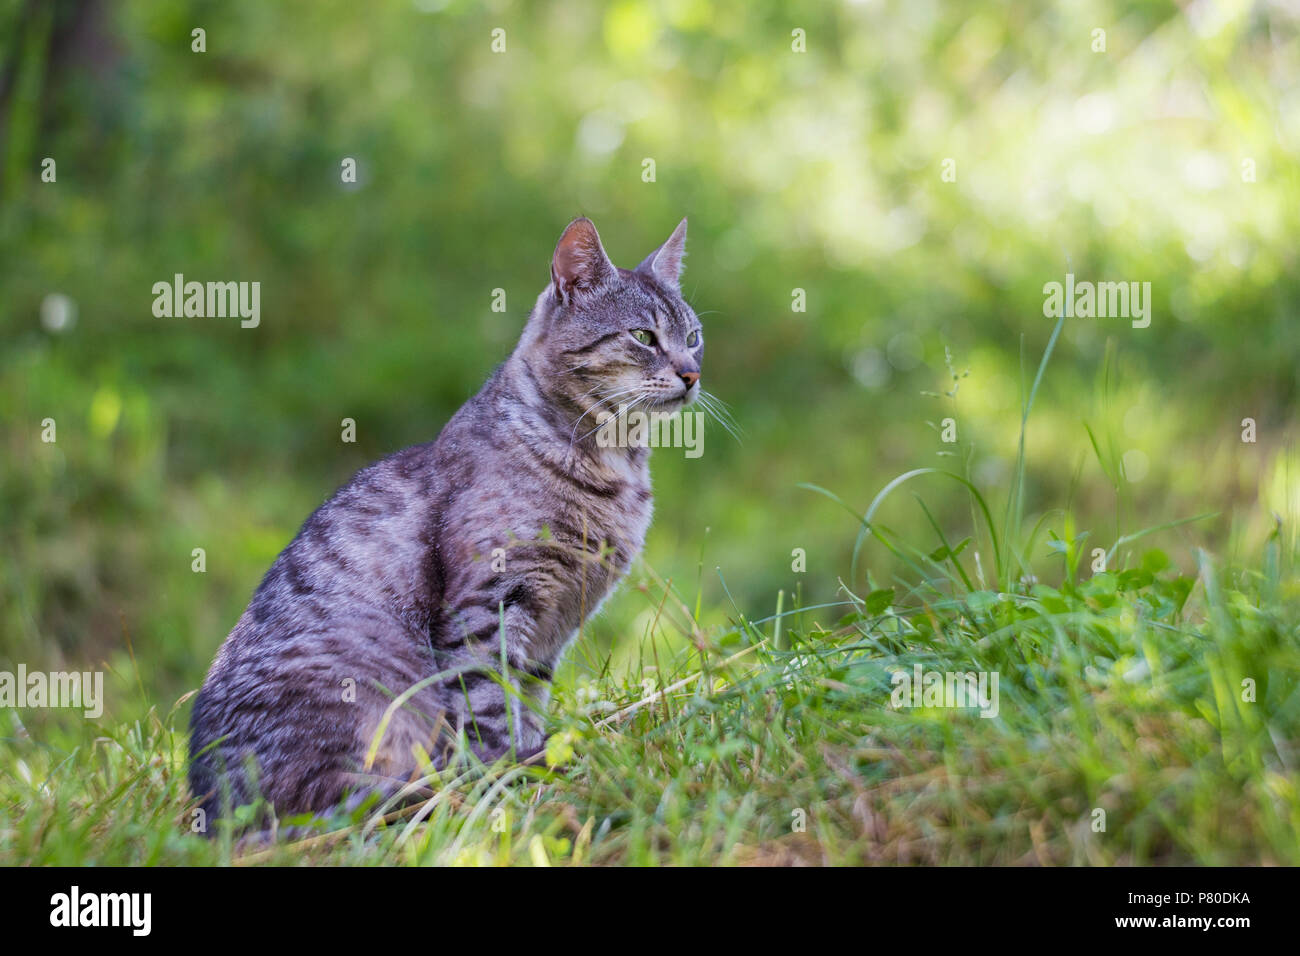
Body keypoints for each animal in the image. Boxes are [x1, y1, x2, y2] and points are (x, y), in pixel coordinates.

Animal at [187, 217, 702, 822]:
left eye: (693, 336)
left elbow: (527, 698)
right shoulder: (488, 604)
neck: (614, 464)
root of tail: (210, 805)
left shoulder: (549, 631)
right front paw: (510, 776)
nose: (692, 373)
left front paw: (535, 758)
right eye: (643, 337)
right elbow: (489, 706)